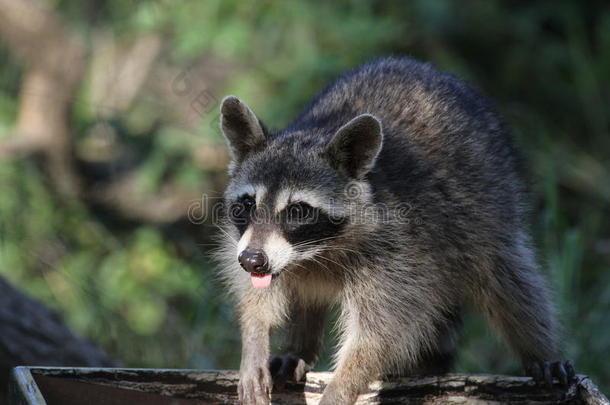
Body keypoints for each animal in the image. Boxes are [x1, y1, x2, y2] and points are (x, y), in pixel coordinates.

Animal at [216, 56, 572, 404]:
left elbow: (381, 333)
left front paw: (341, 387)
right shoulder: (251, 245)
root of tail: (420, 66)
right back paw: (299, 347)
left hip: (489, 205)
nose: (252, 260)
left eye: (298, 211)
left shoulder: (398, 251)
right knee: (306, 296)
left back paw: (539, 348)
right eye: (247, 204)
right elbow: (256, 296)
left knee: (509, 278)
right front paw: (255, 338)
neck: (315, 252)